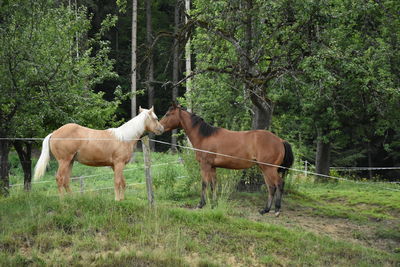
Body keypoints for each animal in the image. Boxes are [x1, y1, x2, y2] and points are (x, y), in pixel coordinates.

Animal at [33, 107, 163, 201]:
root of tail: (54, 132)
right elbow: (117, 182)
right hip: (64, 161)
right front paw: (117, 200)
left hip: (70, 162)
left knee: (66, 180)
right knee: (59, 178)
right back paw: (62, 200)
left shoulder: (116, 166)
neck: (124, 138)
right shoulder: (119, 164)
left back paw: (73, 199)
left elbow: (123, 182)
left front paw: (121, 200)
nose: (161, 128)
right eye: (156, 118)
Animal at [159, 103, 294, 217]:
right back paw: (265, 210)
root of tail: (280, 140)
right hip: (265, 169)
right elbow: (213, 185)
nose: (159, 127)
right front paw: (214, 204)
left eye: (168, 114)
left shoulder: (205, 166)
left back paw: (277, 210)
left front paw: (201, 204)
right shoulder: (212, 167)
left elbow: (204, 184)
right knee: (271, 187)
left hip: (269, 169)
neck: (205, 136)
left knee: (279, 184)